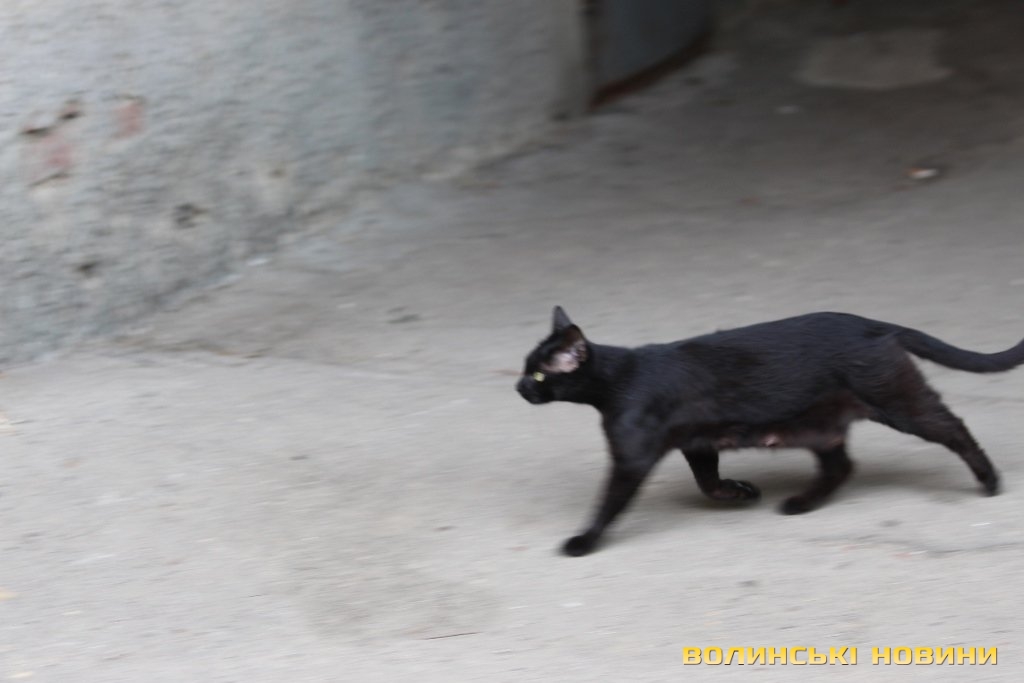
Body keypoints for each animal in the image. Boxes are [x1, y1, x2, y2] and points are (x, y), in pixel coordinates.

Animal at [516, 306, 1024, 557]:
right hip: (819, 425)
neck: (618, 379)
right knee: (842, 465)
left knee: (953, 426)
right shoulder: (697, 443)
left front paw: (584, 541)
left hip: (898, 403)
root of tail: (872, 324)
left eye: (539, 374)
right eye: (525, 370)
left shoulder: (632, 457)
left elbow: (609, 502)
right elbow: (707, 481)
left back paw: (990, 481)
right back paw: (800, 503)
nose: (518, 386)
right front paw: (738, 492)